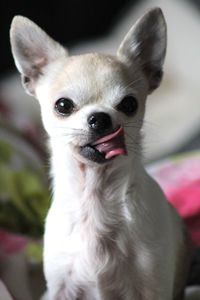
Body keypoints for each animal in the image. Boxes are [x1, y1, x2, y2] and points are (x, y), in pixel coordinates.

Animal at [9, 8, 191, 300]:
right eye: (63, 106)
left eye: (129, 104)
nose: (100, 118)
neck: (96, 197)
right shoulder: (60, 289)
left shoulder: (154, 285)